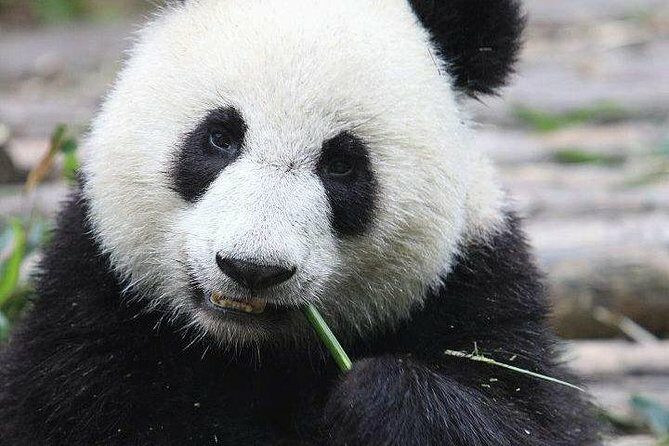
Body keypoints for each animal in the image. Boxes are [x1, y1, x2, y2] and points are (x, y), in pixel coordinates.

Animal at [0, 0, 599, 445]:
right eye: (219, 137)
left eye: (341, 165)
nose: (251, 268)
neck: (245, 348)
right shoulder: (88, 309)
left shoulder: (478, 285)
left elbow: (531, 417)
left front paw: (374, 396)